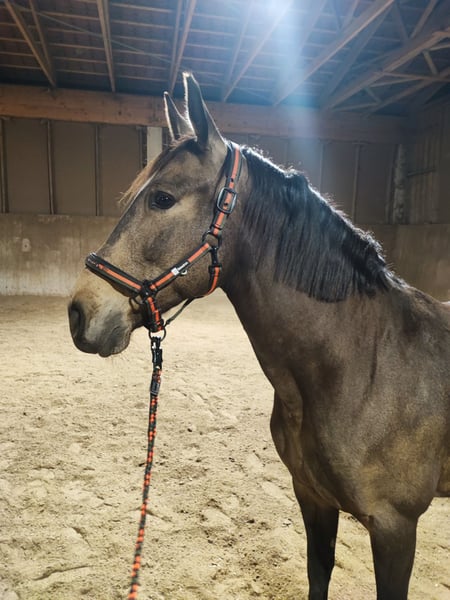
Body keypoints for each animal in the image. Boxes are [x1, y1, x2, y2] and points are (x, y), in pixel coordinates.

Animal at [68, 73, 450, 600]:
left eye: (162, 198)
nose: (78, 313)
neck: (363, 368)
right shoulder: (312, 498)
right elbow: (317, 574)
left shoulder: (395, 528)